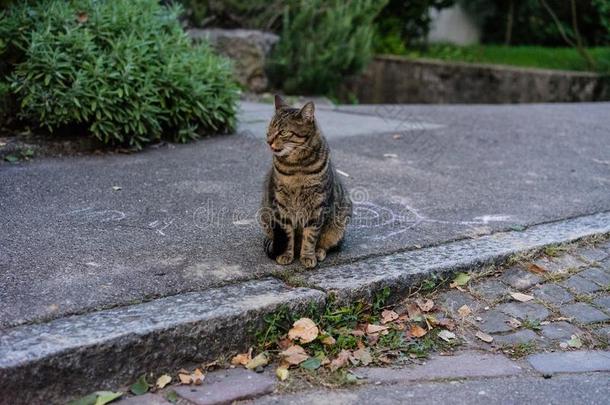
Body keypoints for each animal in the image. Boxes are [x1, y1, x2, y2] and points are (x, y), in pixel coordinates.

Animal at [258, 93, 352, 266]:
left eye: (283, 132)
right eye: (269, 129)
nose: (268, 141)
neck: (297, 166)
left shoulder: (317, 205)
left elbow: (311, 235)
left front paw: (308, 256)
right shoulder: (281, 204)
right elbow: (287, 234)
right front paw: (286, 255)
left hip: (340, 221)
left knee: (327, 244)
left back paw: (319, 252)